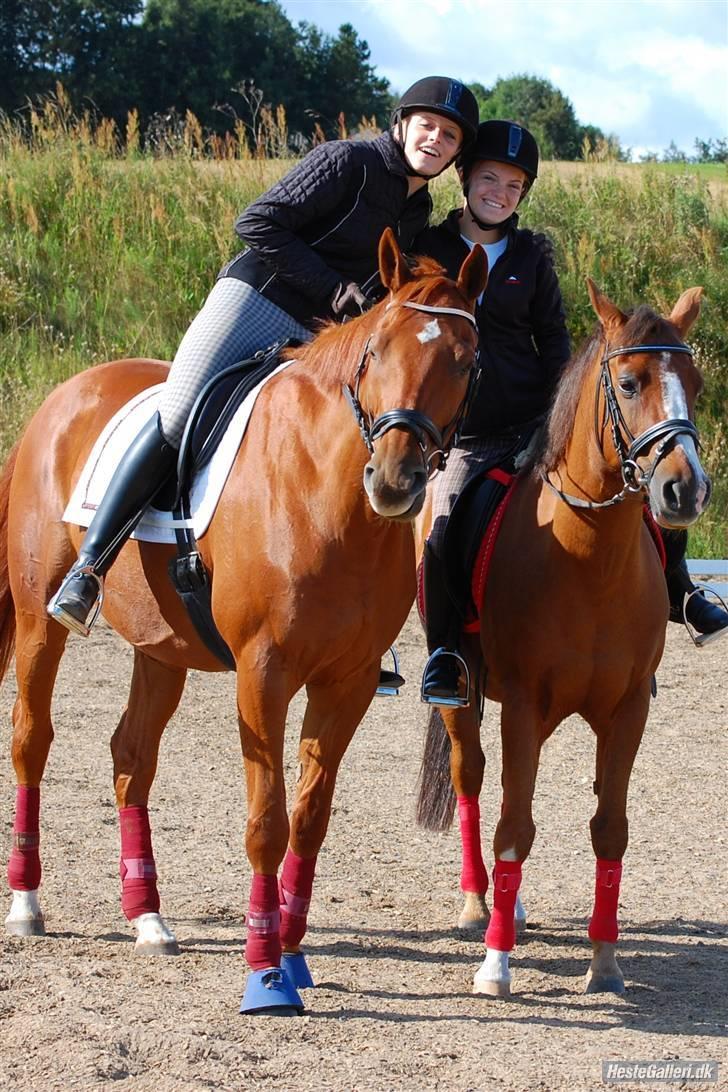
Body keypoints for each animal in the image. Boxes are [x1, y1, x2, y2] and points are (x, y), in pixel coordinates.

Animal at [2, 230, 486, 1013]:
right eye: (377, 350)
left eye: (466, 361)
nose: (394, 480)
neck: (327, 495)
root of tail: (64, 395)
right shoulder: (263, 674)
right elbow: (267, 821)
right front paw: (264, 974)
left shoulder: (347, 681)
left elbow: (310, 820)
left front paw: (291, 952)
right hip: (38, 620)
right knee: (31, 739)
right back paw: (26, 905)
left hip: (161, 647)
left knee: (131, 757)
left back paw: (147, 916)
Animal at [419, 279, 707, 1000]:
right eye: (629, 384)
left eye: (692, 381)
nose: (684, 490)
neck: (588, 559)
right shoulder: (523, 706)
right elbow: (513, 827)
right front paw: (495, 965)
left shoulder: (626, 711)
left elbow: (609, 830)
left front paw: (604, 962)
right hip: (466, 695)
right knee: (474, 781)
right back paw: (479, 905)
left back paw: (512, 905)